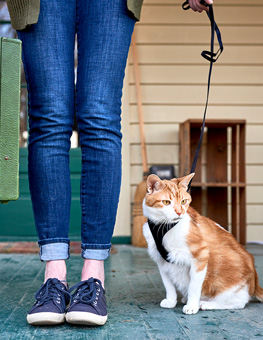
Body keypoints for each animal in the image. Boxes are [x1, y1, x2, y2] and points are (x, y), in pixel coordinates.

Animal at [144, 174, 263, 314]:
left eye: (183, 201)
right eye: (166, 202)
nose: (179, 212)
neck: (163, 227)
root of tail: (255, 282)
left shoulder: (200, 255)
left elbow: (194, 286)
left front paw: (192, 306)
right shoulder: (161, 261)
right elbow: (168, 285)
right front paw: (171, 301)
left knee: (239, 302)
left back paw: (207, 304)